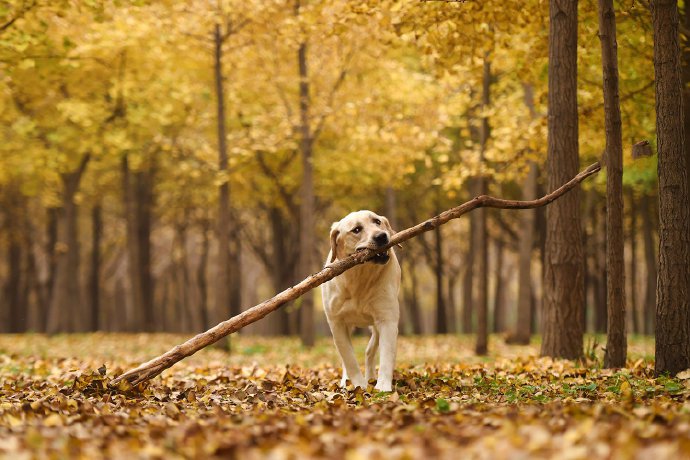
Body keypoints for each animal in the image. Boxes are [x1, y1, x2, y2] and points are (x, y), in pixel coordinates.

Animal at [320, 210, 400, 390]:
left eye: (377, 221)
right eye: (356, 230)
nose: (382, 236)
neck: (359, 277)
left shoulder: (387, 319)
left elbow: (386, 356)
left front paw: (383, 387)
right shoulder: (337, 323)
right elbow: (349, 358)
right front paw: (359, 386)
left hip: (377, 326)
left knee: (370, 351)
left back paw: (371, 377)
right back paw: (347, 381)